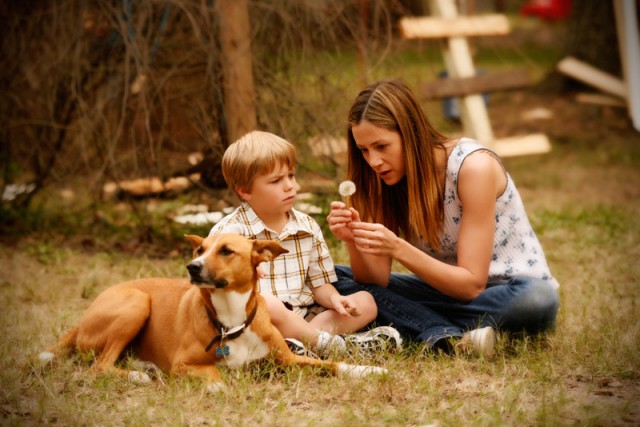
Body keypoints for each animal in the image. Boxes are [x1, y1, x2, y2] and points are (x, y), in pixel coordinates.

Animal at [42, 234, 388, 392]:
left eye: (226, 251)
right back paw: (139, 375)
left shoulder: (288, 359)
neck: (231, 320)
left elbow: (332, 364)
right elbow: (216, 375)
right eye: (200, 250)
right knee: (99, 366)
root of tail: (83, 319)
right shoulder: (184, 364)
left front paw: (370, 370)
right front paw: (220, 386)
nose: (192, 267)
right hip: (137, 303)